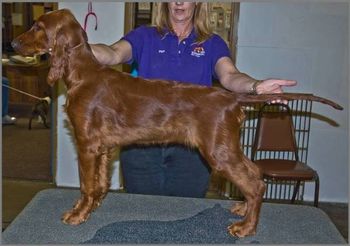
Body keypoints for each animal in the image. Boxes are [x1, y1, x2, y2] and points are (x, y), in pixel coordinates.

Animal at [11, 9, 342, 238]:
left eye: (38, 27)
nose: (13, 42)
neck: (81, 74)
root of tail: (229, 97)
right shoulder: (103, 148)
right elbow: (100, 184)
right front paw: (93, 208)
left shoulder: (87, 144)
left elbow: (85, 185)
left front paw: (78, 214)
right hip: (225, 146)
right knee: (254, 173)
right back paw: (243, 209)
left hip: (218, 151)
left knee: (255, 181)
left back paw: (246, 228)